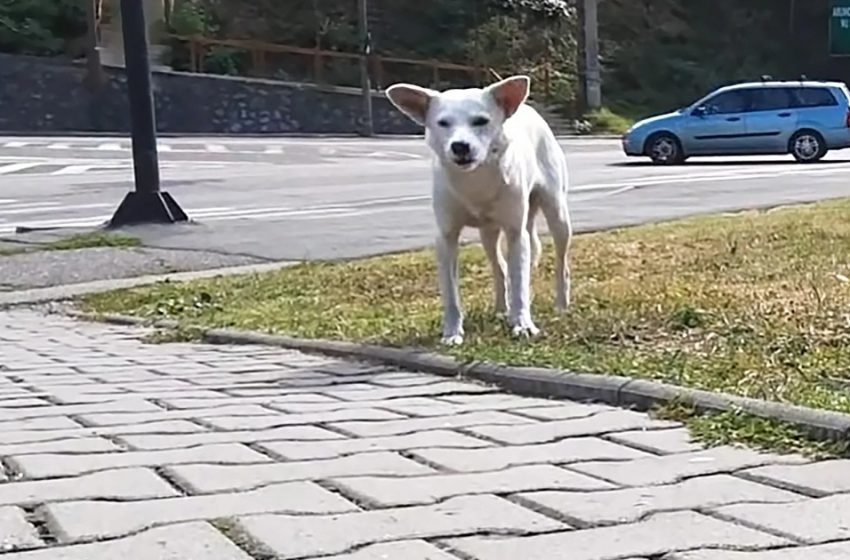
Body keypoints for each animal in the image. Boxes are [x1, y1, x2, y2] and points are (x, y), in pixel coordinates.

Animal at [384, 75, 568, 346]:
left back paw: (562, 303)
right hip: (488, 235)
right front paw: (452, 333)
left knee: (560, 262)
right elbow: (451, 294)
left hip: (558, 214)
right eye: (443, 123)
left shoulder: (516, 233)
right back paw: (502, 309)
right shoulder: (446, 238)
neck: (475, 179)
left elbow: (520, 285)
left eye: (480, 121)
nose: (460, 146)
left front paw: (523, 324)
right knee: (499, 267)